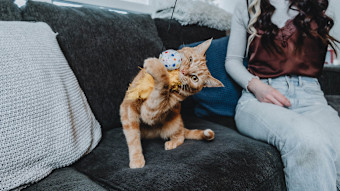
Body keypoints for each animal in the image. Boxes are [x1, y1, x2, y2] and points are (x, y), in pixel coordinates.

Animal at [119, 39, 223, 168]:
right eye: (190, 60)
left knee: (181, 136)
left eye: (195, 78)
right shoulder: (129, 106)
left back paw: (172, 143)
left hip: (174, 124)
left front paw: (157, 67)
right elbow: (133, 136)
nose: (183, 71)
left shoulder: (150, 112)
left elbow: (162, 86)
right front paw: (137, 159)